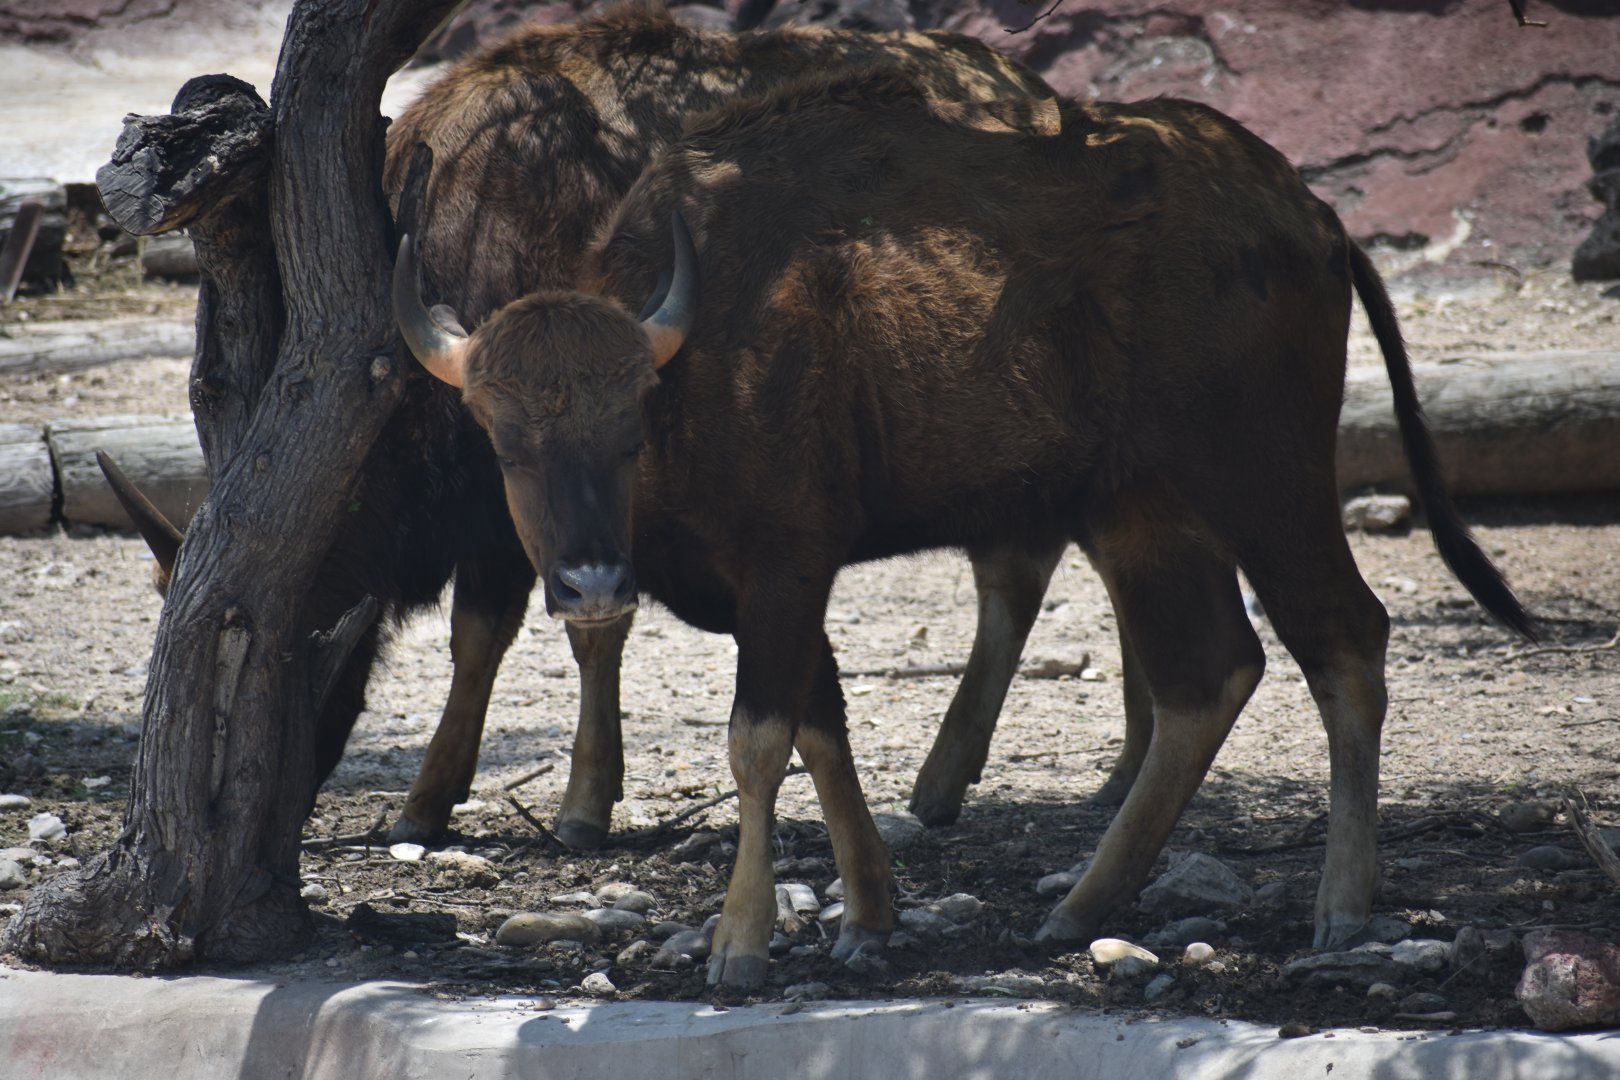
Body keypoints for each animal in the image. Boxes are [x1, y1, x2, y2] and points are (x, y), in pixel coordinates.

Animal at [102, 1, 1068, 848]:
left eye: (254, 673)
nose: (225, 798)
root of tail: (1035, 94)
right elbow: (508, 630)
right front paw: (449, 797)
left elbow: (545, 628)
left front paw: (556, 802)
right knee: (1020, 566)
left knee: (1019, 567)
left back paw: (944, 778)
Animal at [392, 67, 1533, 986]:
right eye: (504, 440)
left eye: (631, 424)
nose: (589, 582)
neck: (710, 349)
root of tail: (1310, 216)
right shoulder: (786, 590)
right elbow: (825, 727)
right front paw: (868, 915)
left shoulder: (785, 569)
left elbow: (761, 741)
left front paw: (743, 942)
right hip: (1141, 512)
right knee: (1208, 676)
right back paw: (1081, 908)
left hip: (1266, 481)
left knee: (1344, 638)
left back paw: (1341, 906)